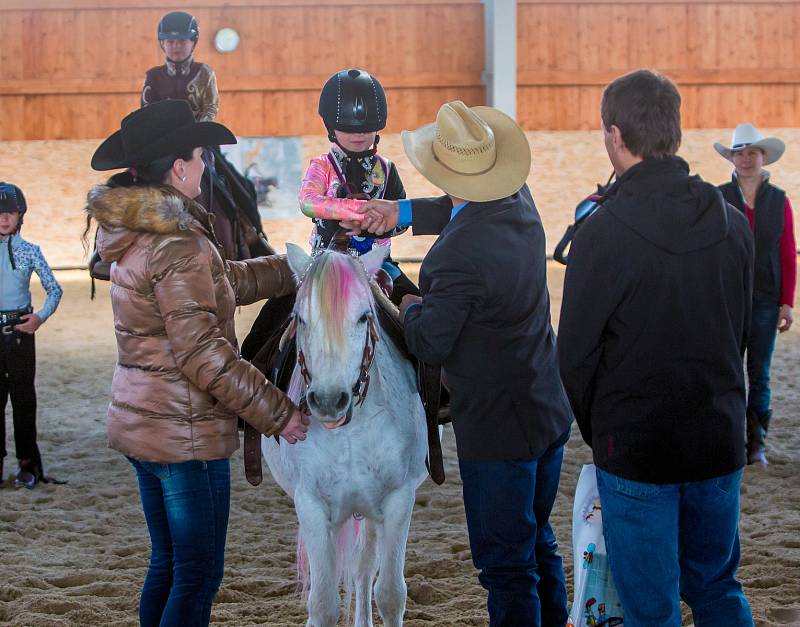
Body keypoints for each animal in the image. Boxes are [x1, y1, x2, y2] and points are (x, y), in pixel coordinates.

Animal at [262, 245, 428, 627]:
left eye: (364, 317)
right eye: (300, 318)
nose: (327, 400)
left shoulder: (398, 500)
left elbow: (390, 595)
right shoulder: (311, 505)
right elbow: (323, 603)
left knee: (364, 568)